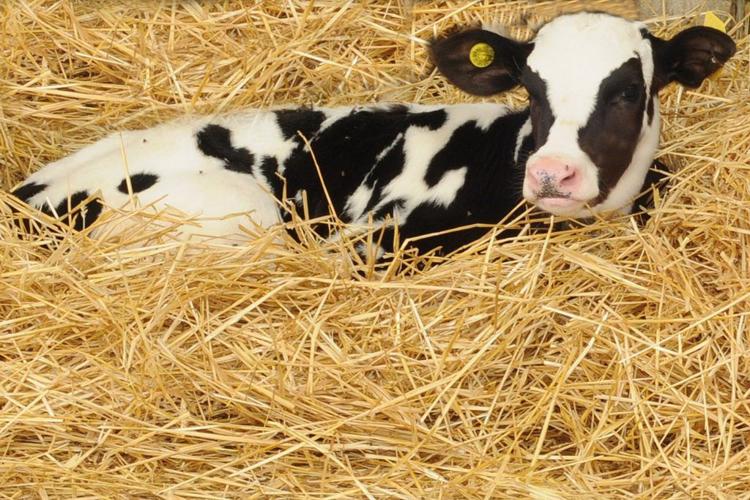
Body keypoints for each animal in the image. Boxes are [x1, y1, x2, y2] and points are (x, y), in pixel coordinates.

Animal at [7, 12, 735, 255]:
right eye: (532, 88)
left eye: (628, 91)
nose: (552, 174)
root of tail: (27, 196)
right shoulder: (369, 236)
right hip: (244, 211)